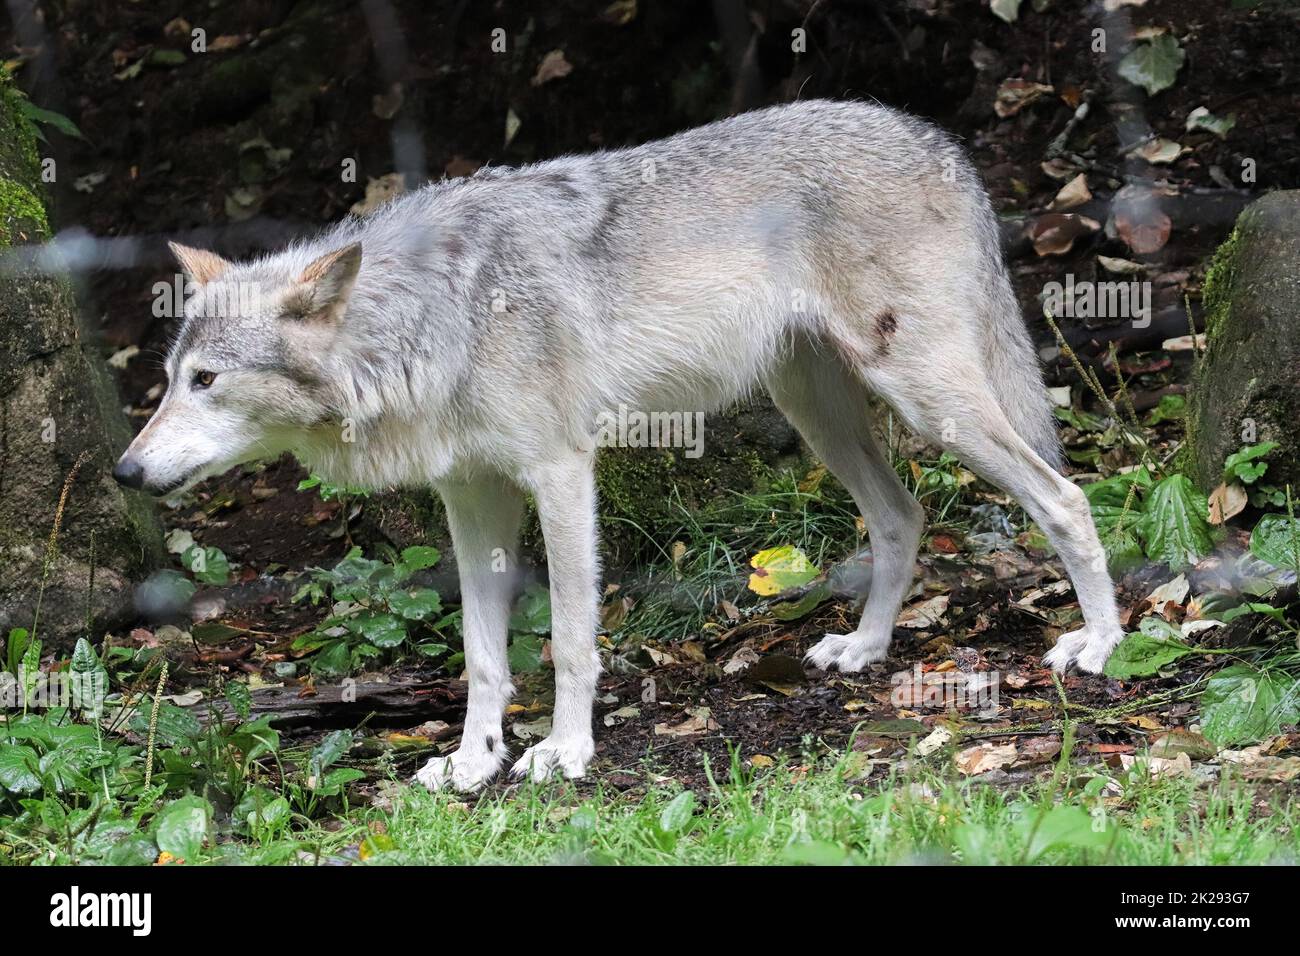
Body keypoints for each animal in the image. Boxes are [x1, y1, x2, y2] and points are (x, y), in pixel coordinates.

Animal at [114, 102, 1128, 790]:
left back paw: (1101, 644)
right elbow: (481, 655)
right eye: (167, 379)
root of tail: (938, 139)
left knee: (1066, 497)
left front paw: (564, 751)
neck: (430, 316)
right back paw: (867, 648)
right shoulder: (472, 499)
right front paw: (473, 762)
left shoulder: (561, 475)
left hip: (930, 403)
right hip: (820, 411)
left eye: (206, 381)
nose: (125, 469)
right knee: (901, 514)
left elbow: (568, 637)